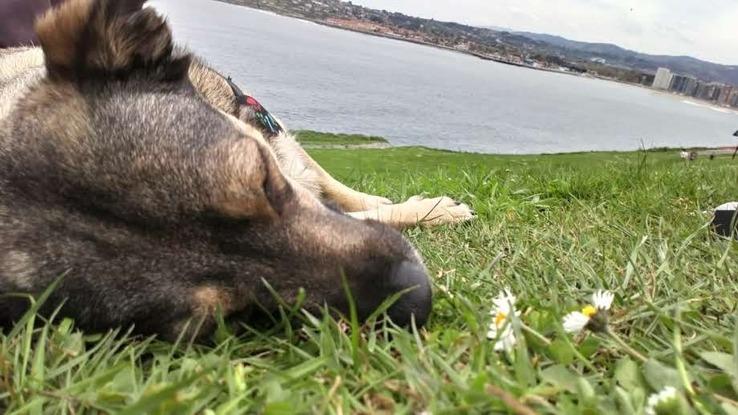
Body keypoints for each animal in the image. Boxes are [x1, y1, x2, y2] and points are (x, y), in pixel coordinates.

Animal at [0, 0, 472, 342]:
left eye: (263, 177)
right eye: (213, 321)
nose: (417, 299)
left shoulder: (277, 139)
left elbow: (333, 184)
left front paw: (408, 203)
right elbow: (365, 212)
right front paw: (430, 211)